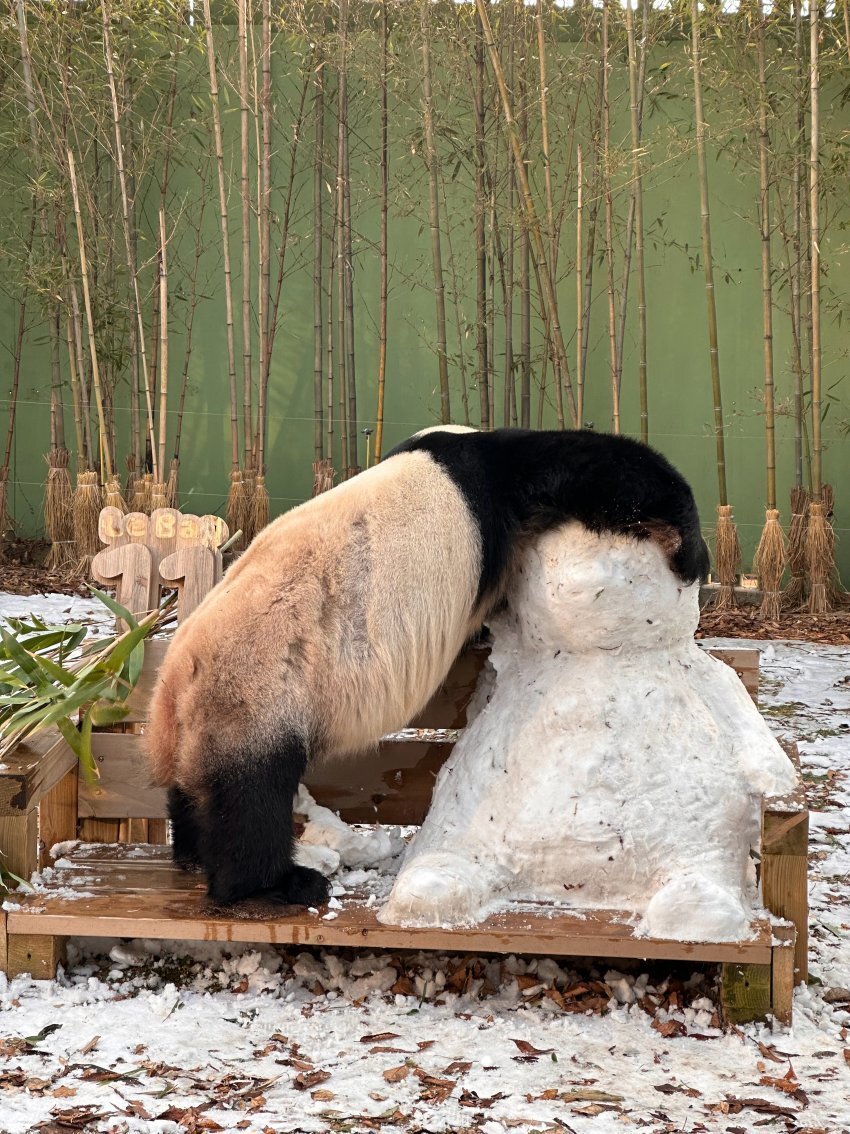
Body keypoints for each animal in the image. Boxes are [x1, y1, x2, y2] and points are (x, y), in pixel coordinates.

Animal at [146, 428, 711, 907]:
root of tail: (174, 684)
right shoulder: (501, 490)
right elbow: (587, 468)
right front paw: (689, 551)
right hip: (256, 692)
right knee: (250, 800)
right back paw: (278, 884)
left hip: (215, 716)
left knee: (198, 794)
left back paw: (193, 853)